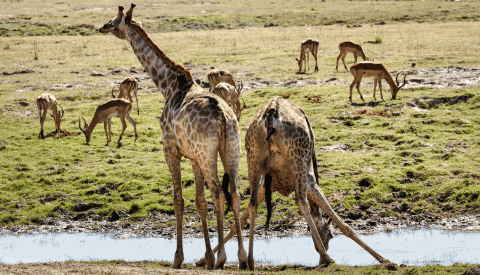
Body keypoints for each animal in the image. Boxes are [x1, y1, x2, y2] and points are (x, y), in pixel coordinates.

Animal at [98, 3, 248, 272]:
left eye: (114, 21)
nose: (102, 27)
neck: (167, 86)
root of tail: (223, 117)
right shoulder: (193, 157)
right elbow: (199, 201)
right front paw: (206, 257)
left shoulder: (171, 150)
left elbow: (179, 200)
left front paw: (179, 258)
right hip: (232, 149)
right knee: (235, 193)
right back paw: (241, 258)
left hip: (209, 153)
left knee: (219, 193)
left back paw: (223, 258)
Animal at [197, 96, 396, 270]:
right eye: (330, 235)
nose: (319, 260)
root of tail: (272, 113)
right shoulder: (310, 181)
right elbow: (342, 223)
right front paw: (385, 260)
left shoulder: (267, 185)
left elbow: (241, 218)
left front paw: (203, 260)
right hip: (298, 161)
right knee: (300, 200)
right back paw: (328, 258)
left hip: (253, 158)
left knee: (252, 203)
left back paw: (251, 261)